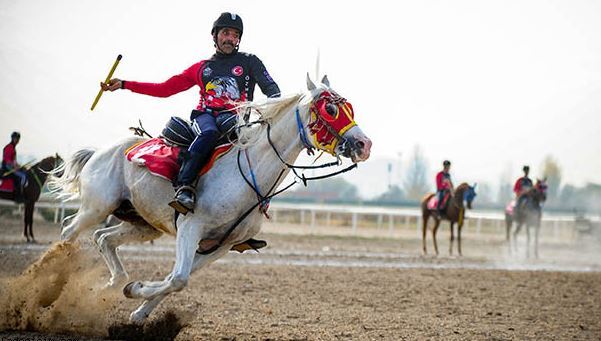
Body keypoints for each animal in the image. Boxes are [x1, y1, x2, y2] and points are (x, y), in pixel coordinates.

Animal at [50, 74, 370, 322]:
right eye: (330, 108)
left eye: (350, 108)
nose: (364, 144)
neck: (246, 176)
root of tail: (100, 151)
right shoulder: (191, 228)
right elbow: (178, 278)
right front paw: (135, 290)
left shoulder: (220, 245)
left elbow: (176, 280)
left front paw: (138, 308)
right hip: (97, 207)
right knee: (69, 231)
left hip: (142, 224)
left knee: (103, 238)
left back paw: (111, 284)